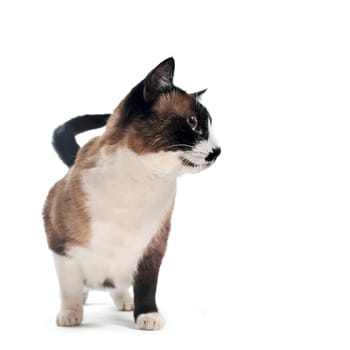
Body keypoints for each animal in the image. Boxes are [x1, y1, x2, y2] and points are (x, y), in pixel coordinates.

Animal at [42, 57, 220, 330]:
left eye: (208, 127)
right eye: (192, 122)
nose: (217, 151)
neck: (141, 182)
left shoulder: (153, 247)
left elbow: (146, 285)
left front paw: (147, 315)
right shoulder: (62, 248)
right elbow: (69, 287)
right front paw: (71, 314)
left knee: (117, 285)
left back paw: (125, 302)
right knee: (83, 286)